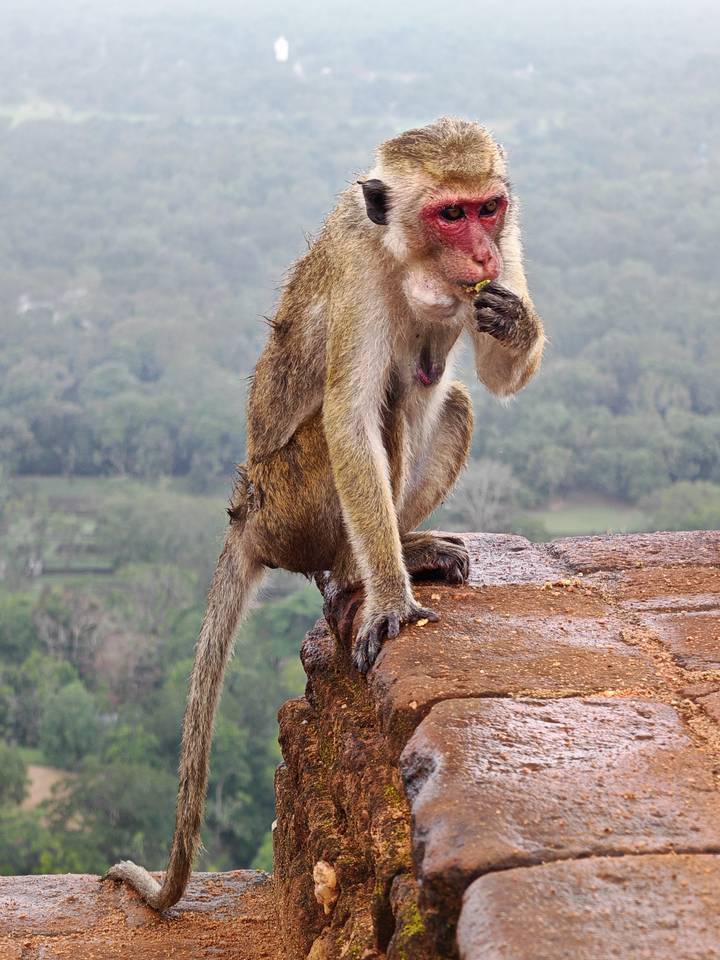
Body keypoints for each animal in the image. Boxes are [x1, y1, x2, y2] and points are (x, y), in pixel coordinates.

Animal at [104, 117, 545, 911]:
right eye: (450, 214)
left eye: (487, 208)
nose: (481, 253)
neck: (404, 258)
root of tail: (246, 509)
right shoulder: (358, 277)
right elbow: (350, 419)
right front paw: (392, 600)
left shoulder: (508, 243)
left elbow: (498, 374)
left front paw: (513, 321)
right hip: (294, 506)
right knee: (386, 408)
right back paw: (358, 577)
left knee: (451, 398)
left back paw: (406, 547)